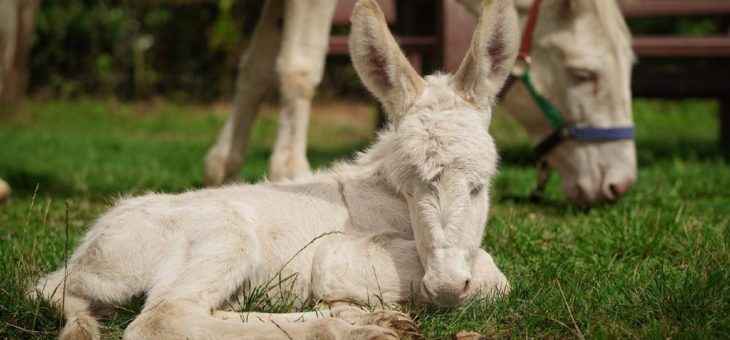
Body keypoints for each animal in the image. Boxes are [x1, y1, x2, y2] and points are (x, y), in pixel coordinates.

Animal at [32, 1, 512, 338]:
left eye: (479, 187)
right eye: (411, 189)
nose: (446, 286)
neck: (386, 197)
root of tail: (75, 267)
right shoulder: (336, 254)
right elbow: (495, 275)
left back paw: (366, 320)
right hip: (224, 234)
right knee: (164, 318)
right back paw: (351, 327)